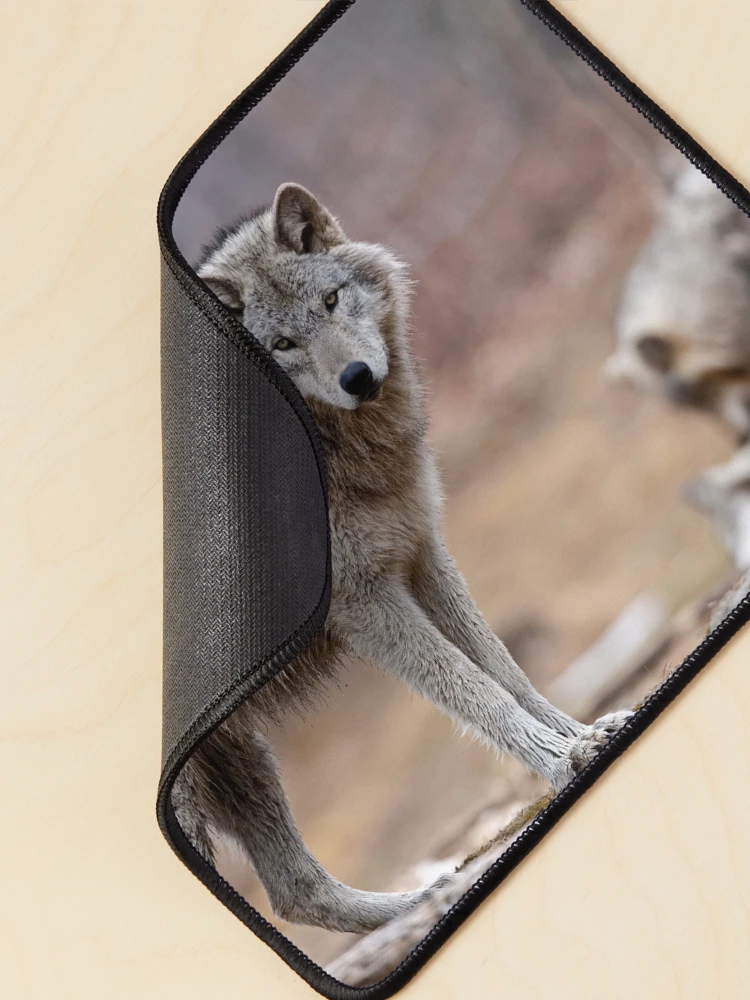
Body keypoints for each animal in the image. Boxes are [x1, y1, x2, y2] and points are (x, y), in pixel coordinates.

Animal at [172, 183, 632, 934]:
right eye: (282, 345)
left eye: (331, 300)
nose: (357, 377)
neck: (341, 453)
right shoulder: (368, 608)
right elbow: (476, 694)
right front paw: (562, 760)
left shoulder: (421, 552)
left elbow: (506, 671)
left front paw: (585, 734)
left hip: (242, 757)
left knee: (296, 890)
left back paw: (428, 898)